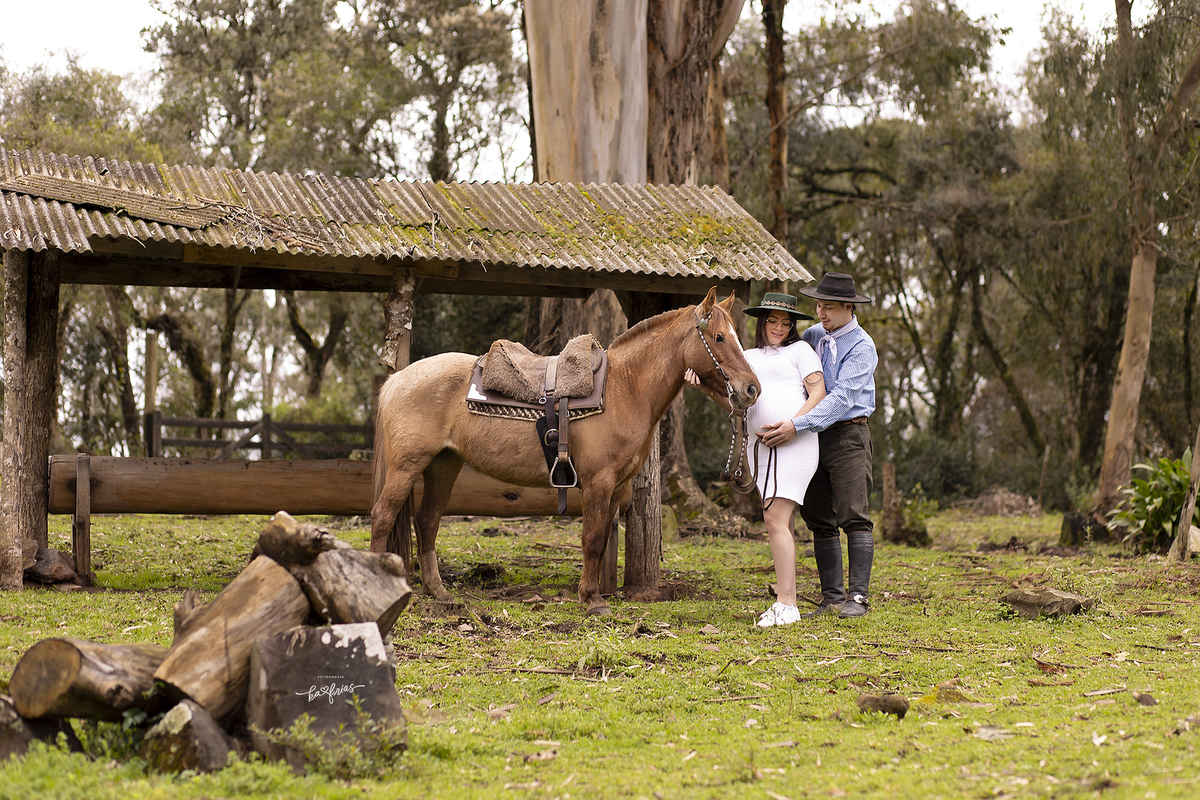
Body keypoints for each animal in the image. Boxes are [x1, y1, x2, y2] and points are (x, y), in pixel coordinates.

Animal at [370, 288, 760, 616]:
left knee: (427, 521)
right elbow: (592, 539)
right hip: (407, 466)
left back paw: (439, 592)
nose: (751, 389)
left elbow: (601, 540)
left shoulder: (617, 487)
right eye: (719, 337)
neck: (625, 388)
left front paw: (594, 593)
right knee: (383, 516)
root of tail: (396, 380)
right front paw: (592, 599)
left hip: (443, 465)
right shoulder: (599, 482)